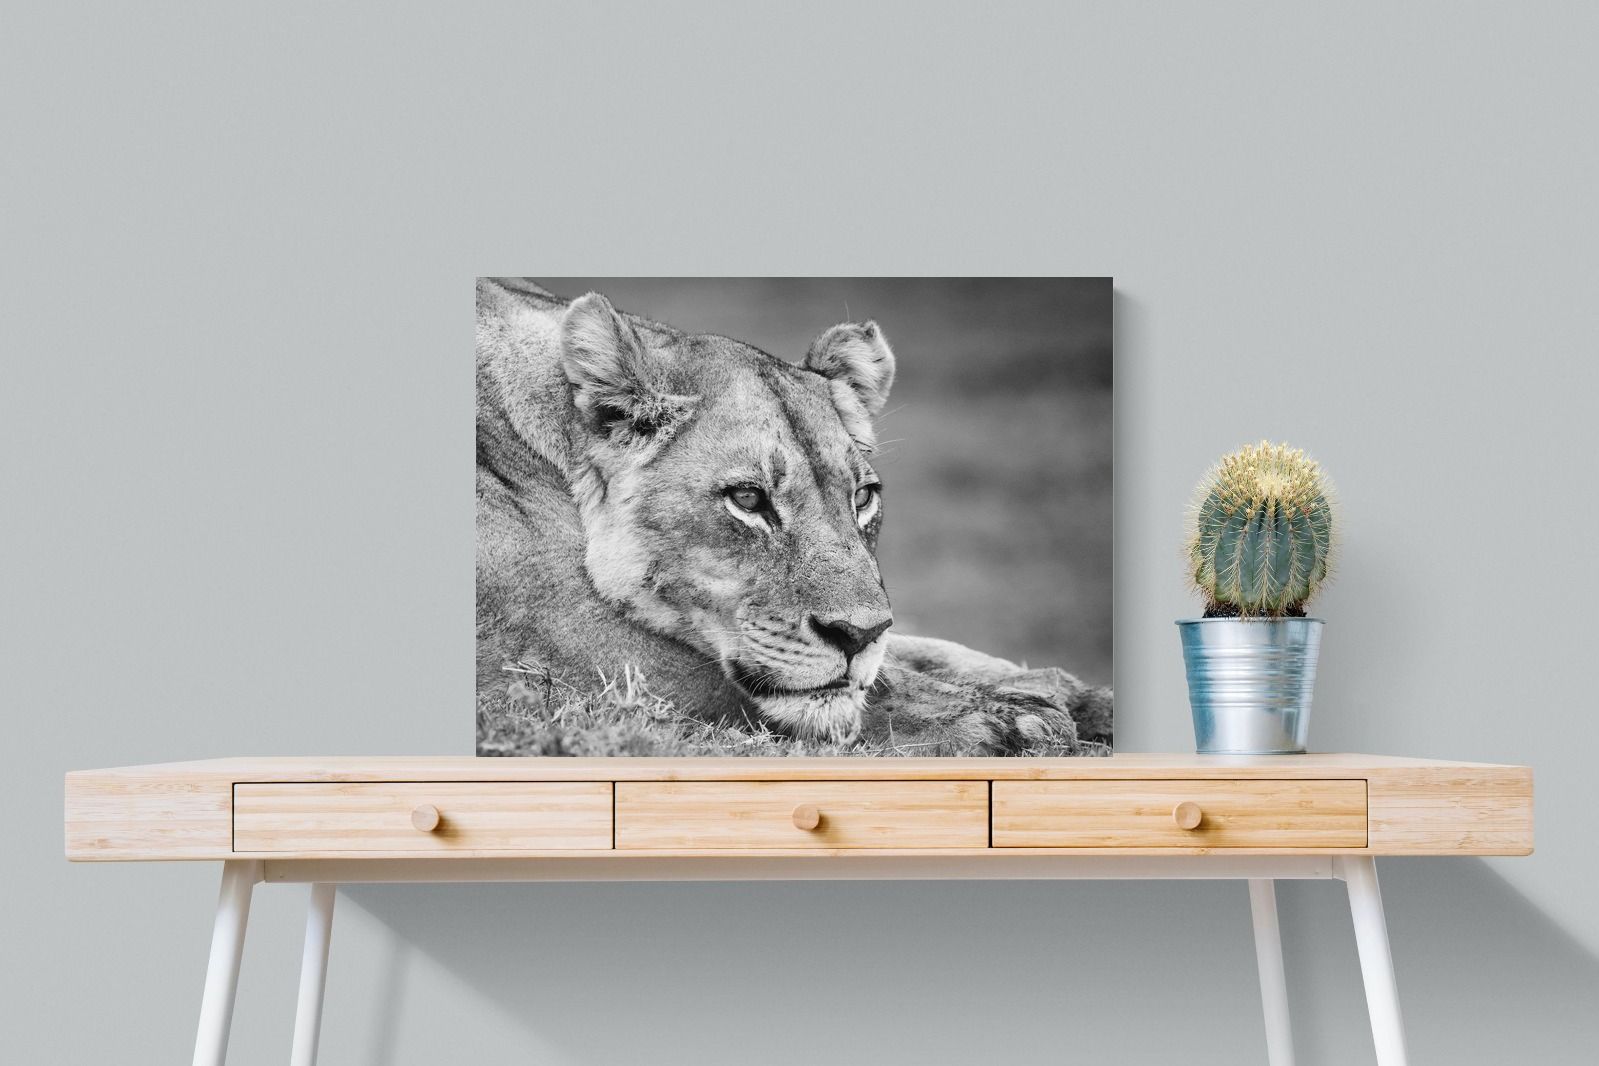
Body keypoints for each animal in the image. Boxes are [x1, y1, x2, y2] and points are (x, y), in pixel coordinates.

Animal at [476, 278, 1111, 755]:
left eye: (863, 498)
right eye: (748, 500)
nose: (857, 636)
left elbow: (919, 650)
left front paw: (1074, 695)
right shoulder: (566, 648)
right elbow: (861, 689)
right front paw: (1014, 719)